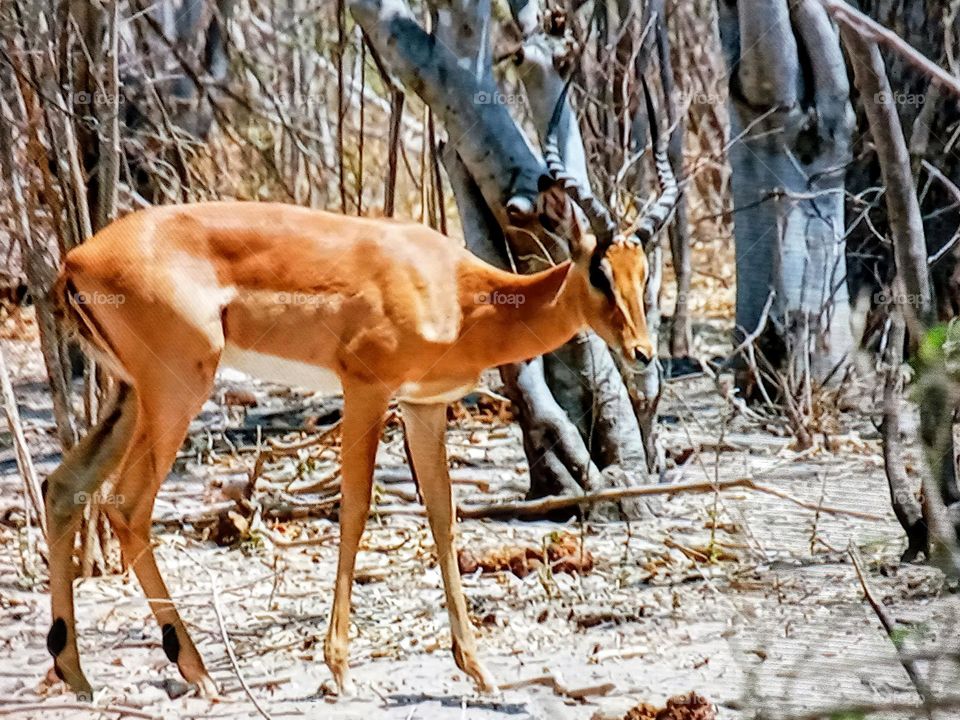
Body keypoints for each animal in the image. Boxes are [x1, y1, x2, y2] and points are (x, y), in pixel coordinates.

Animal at [42, 89, 677, 700]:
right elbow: (354, 510)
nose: (642, 353)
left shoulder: (424, 405)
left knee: (65, 487)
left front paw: (478, 670)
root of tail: (77, 259)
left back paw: (77, 674)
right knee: (126, 504)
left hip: (129, 394)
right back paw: (197, 672)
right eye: (598, 271)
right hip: (176, 391)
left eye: (643, 272)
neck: (460, 294)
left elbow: (443, 516)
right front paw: (339, 667)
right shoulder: (367, 389)